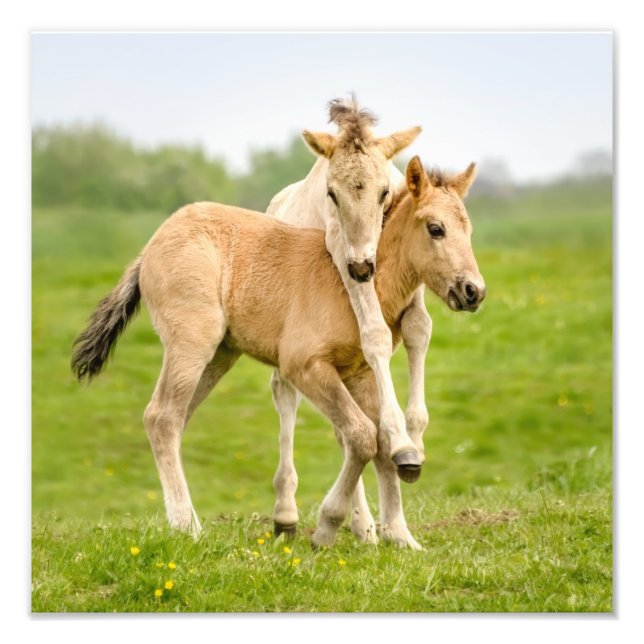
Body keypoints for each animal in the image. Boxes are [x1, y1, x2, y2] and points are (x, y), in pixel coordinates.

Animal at [71, 157, 485, 549]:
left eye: (469, 231)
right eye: (436, 229)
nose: (473, 291)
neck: (354, 284)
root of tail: (149, 247)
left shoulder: (360, 373)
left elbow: (381, 441)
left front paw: (400, 536)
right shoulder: (304, 366)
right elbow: (362, 435)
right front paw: (326, 527)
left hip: (219, 355)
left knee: (172, 418)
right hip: (192, 343)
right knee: (162, 417)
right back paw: (187, 526)